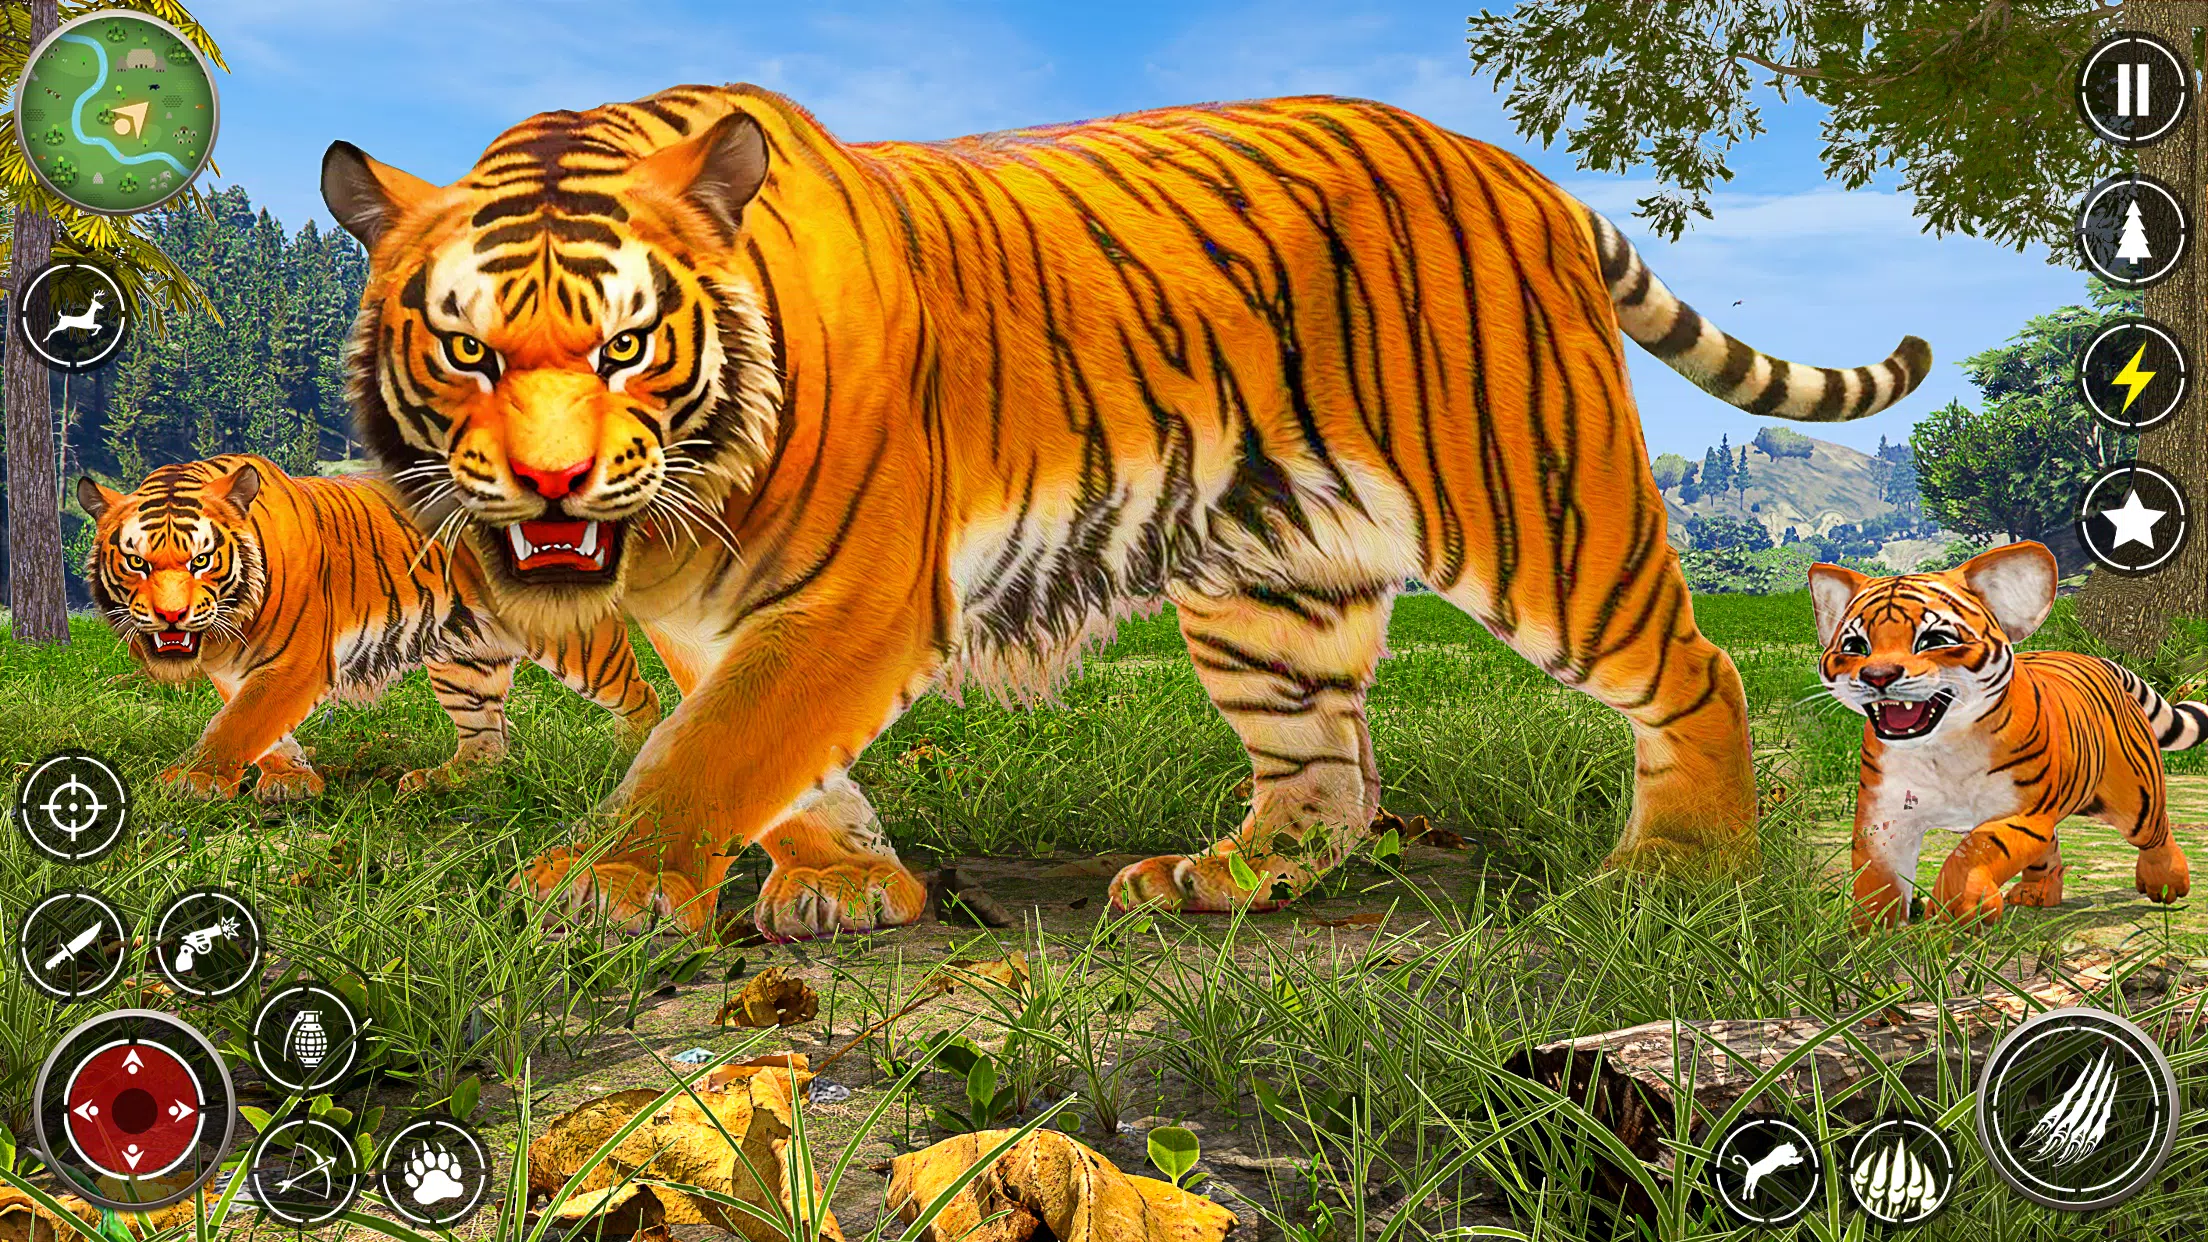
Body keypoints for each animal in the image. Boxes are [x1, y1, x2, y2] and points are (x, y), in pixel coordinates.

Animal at [77, 455, 661, 803]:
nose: (171, 617)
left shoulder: (294, 665)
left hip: (576, 644)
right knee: (486, 739)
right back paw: (441, 782)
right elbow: (261, 729)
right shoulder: (236, 670)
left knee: (641, 694)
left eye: (200, 561)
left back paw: (630, 758)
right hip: (465, 661)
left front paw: (188, 782)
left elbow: (236, 726)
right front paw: (292, 780)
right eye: (136, 562)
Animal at [318, 85, 1930, 939]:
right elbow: (770, 757)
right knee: (1328, 771)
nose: (548, 487)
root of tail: (1506, 161)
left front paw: (608, 879)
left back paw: (1678, 871)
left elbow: (713, 748)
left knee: (1697, 667)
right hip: (1272, 583)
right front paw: (851, 882)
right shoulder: (711, 616)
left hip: (1538, 506)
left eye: (625, 345)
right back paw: (1225, 878)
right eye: (466, 351)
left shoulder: (851, 599)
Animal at [1810, 541, 2199, 928]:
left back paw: (2167, 883)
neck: (1941, 746)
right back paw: (2035, 894)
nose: (1878, 676)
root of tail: (2098, 659)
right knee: (2049, 850)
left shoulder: (2023, 813)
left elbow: (1974, 851)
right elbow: (1877, 875)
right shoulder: (1883, 814)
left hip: (2133, 797)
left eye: (1934, 639)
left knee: (2156, 830)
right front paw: (1873, 929)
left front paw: (1959, 907)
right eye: (1855, 646)